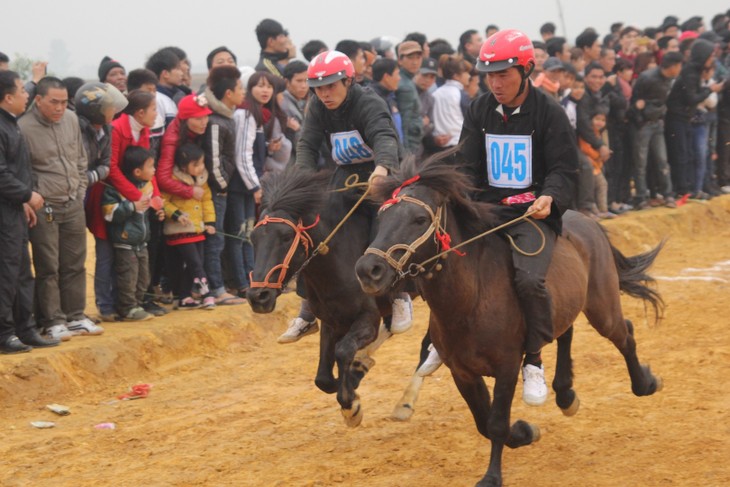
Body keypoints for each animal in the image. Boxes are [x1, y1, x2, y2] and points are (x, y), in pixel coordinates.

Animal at [356, 158, 664, 486]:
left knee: (625, 333)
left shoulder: (507, 366)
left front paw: (492, 475)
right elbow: (483, 421)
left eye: (418, 219)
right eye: (382, 216)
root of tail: (587, 220)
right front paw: (524, 432)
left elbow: (496, 423)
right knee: (566, 333)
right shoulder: (462, 371)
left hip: (601, 306)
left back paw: (645, 383)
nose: (368, 270)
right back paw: (566, 394)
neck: (472, 299)